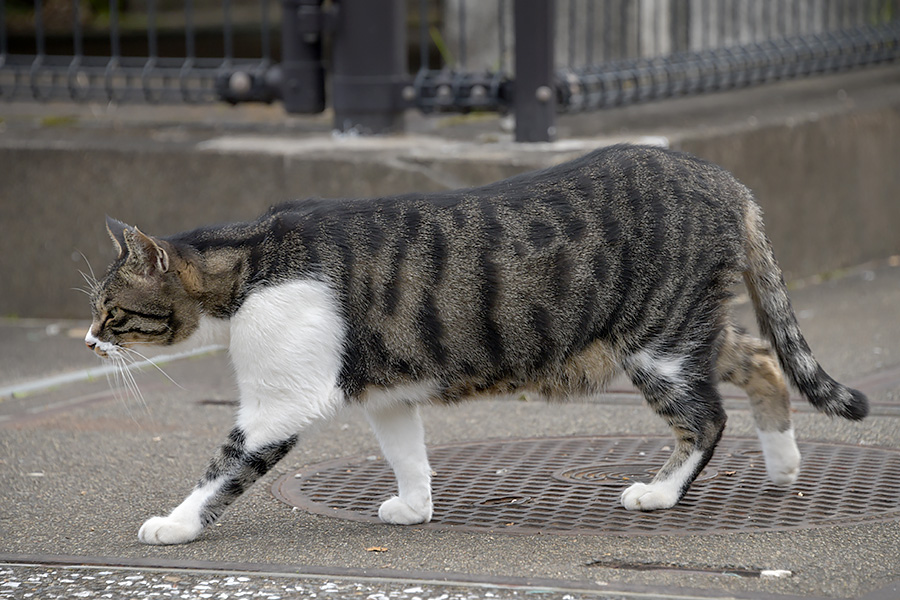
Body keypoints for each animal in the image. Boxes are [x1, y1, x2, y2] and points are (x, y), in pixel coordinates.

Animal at [86, 144, 864, 544]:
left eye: (114, 312)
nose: (91, 342)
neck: (249, 266)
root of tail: (725, 179)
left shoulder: (281, 401)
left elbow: (223, 468)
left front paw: (175, 524)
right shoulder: (386, 391)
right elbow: (407, 454)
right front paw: (414, 508)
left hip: (656, 344)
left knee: (706, 419)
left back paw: (662, 492)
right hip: (683, 329)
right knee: (762, 361)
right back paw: (785, 465)